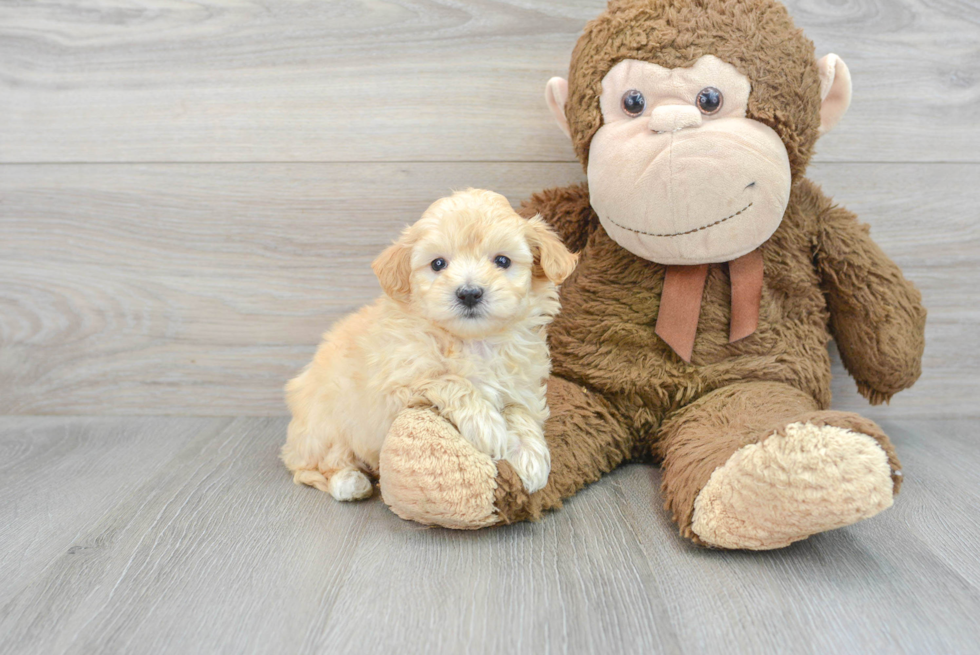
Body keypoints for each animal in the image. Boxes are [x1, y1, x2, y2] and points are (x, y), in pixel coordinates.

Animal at [280, 190, 580, 502]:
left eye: (502, 260)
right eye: (438, 264)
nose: (469, 293)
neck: (473, 341)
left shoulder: (521, 385)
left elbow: (519, 411)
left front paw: (529, 454)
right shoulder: (396, 385)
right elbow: (449, 380)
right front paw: (486, 425)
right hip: (324, 425)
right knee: (311, 466)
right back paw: (349, 482)